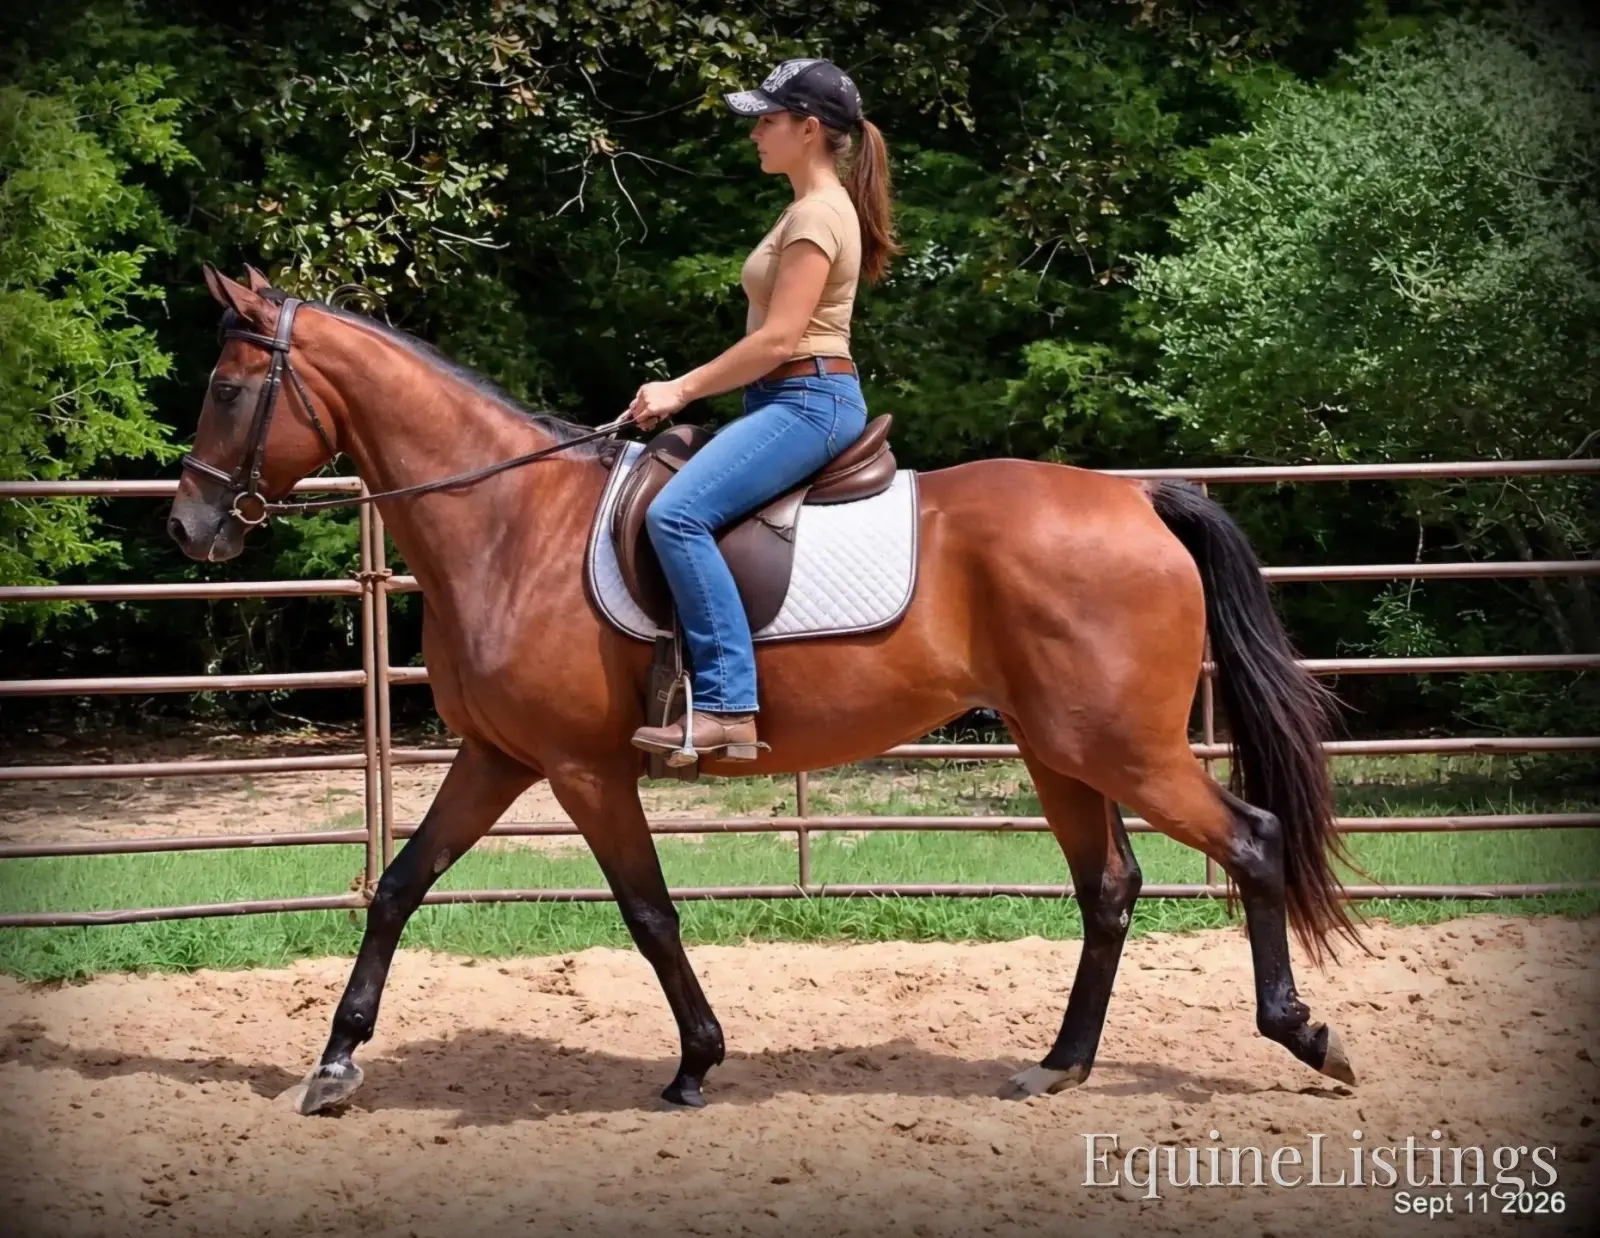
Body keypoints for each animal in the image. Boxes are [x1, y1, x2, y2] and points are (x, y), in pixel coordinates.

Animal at [167, 265, 1364, 1115]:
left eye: (227, 388)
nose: (188, 528)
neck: (510, 526)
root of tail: (1138, 500)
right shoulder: (499, 756)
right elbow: (399, 885)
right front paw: (334, 1064)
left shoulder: (582, 768)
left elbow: (647, 910)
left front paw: (697, 1062)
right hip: (1057, 748)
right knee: (1109, 885)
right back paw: (1058, 1065)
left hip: (1123, 748)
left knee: (1252, 840)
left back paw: (1304, 1033)